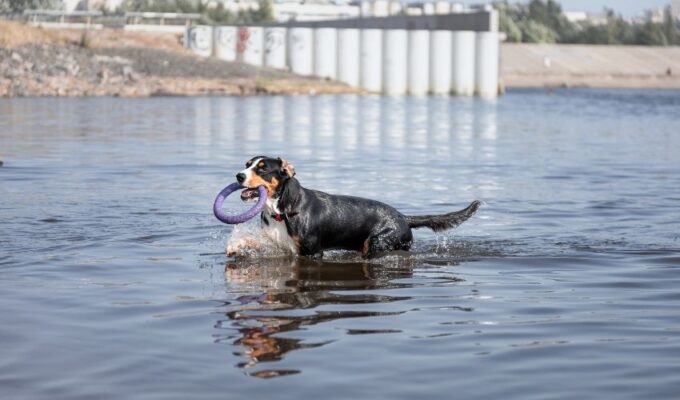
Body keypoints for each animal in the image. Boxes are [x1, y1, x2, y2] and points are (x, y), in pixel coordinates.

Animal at [226, 155, 480, 258]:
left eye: (262, 169)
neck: (282, 209)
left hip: (378, 243)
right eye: (247, 164)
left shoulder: (312, 252)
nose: (238, 176)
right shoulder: (278, 244)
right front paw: (234, 246)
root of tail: (404, 217)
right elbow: (252, 241)